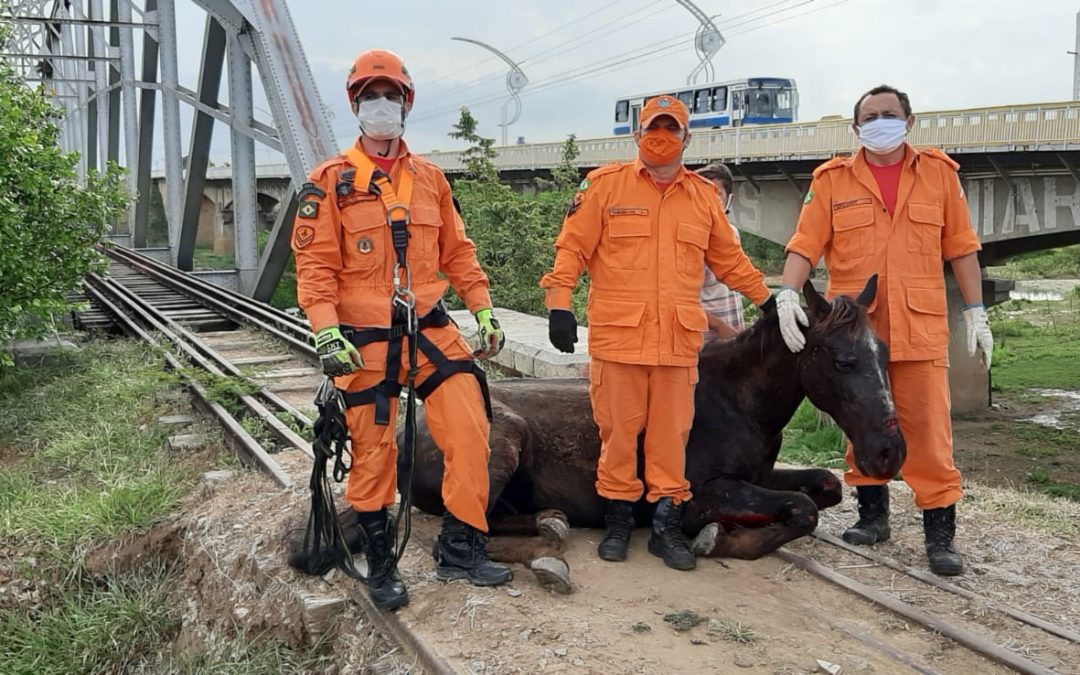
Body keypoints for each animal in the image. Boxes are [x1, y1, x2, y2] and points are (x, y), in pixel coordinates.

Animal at [397, 275, 902, 587]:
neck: (738, 404)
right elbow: (802, 508)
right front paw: (720, 538)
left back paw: (550, 522)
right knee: (461, 533)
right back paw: (547, 557)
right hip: (503, 441)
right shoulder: (702, 494)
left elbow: (825, 486)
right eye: (844, 360)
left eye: (883, 351)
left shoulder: (758, 476)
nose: (890, 453)